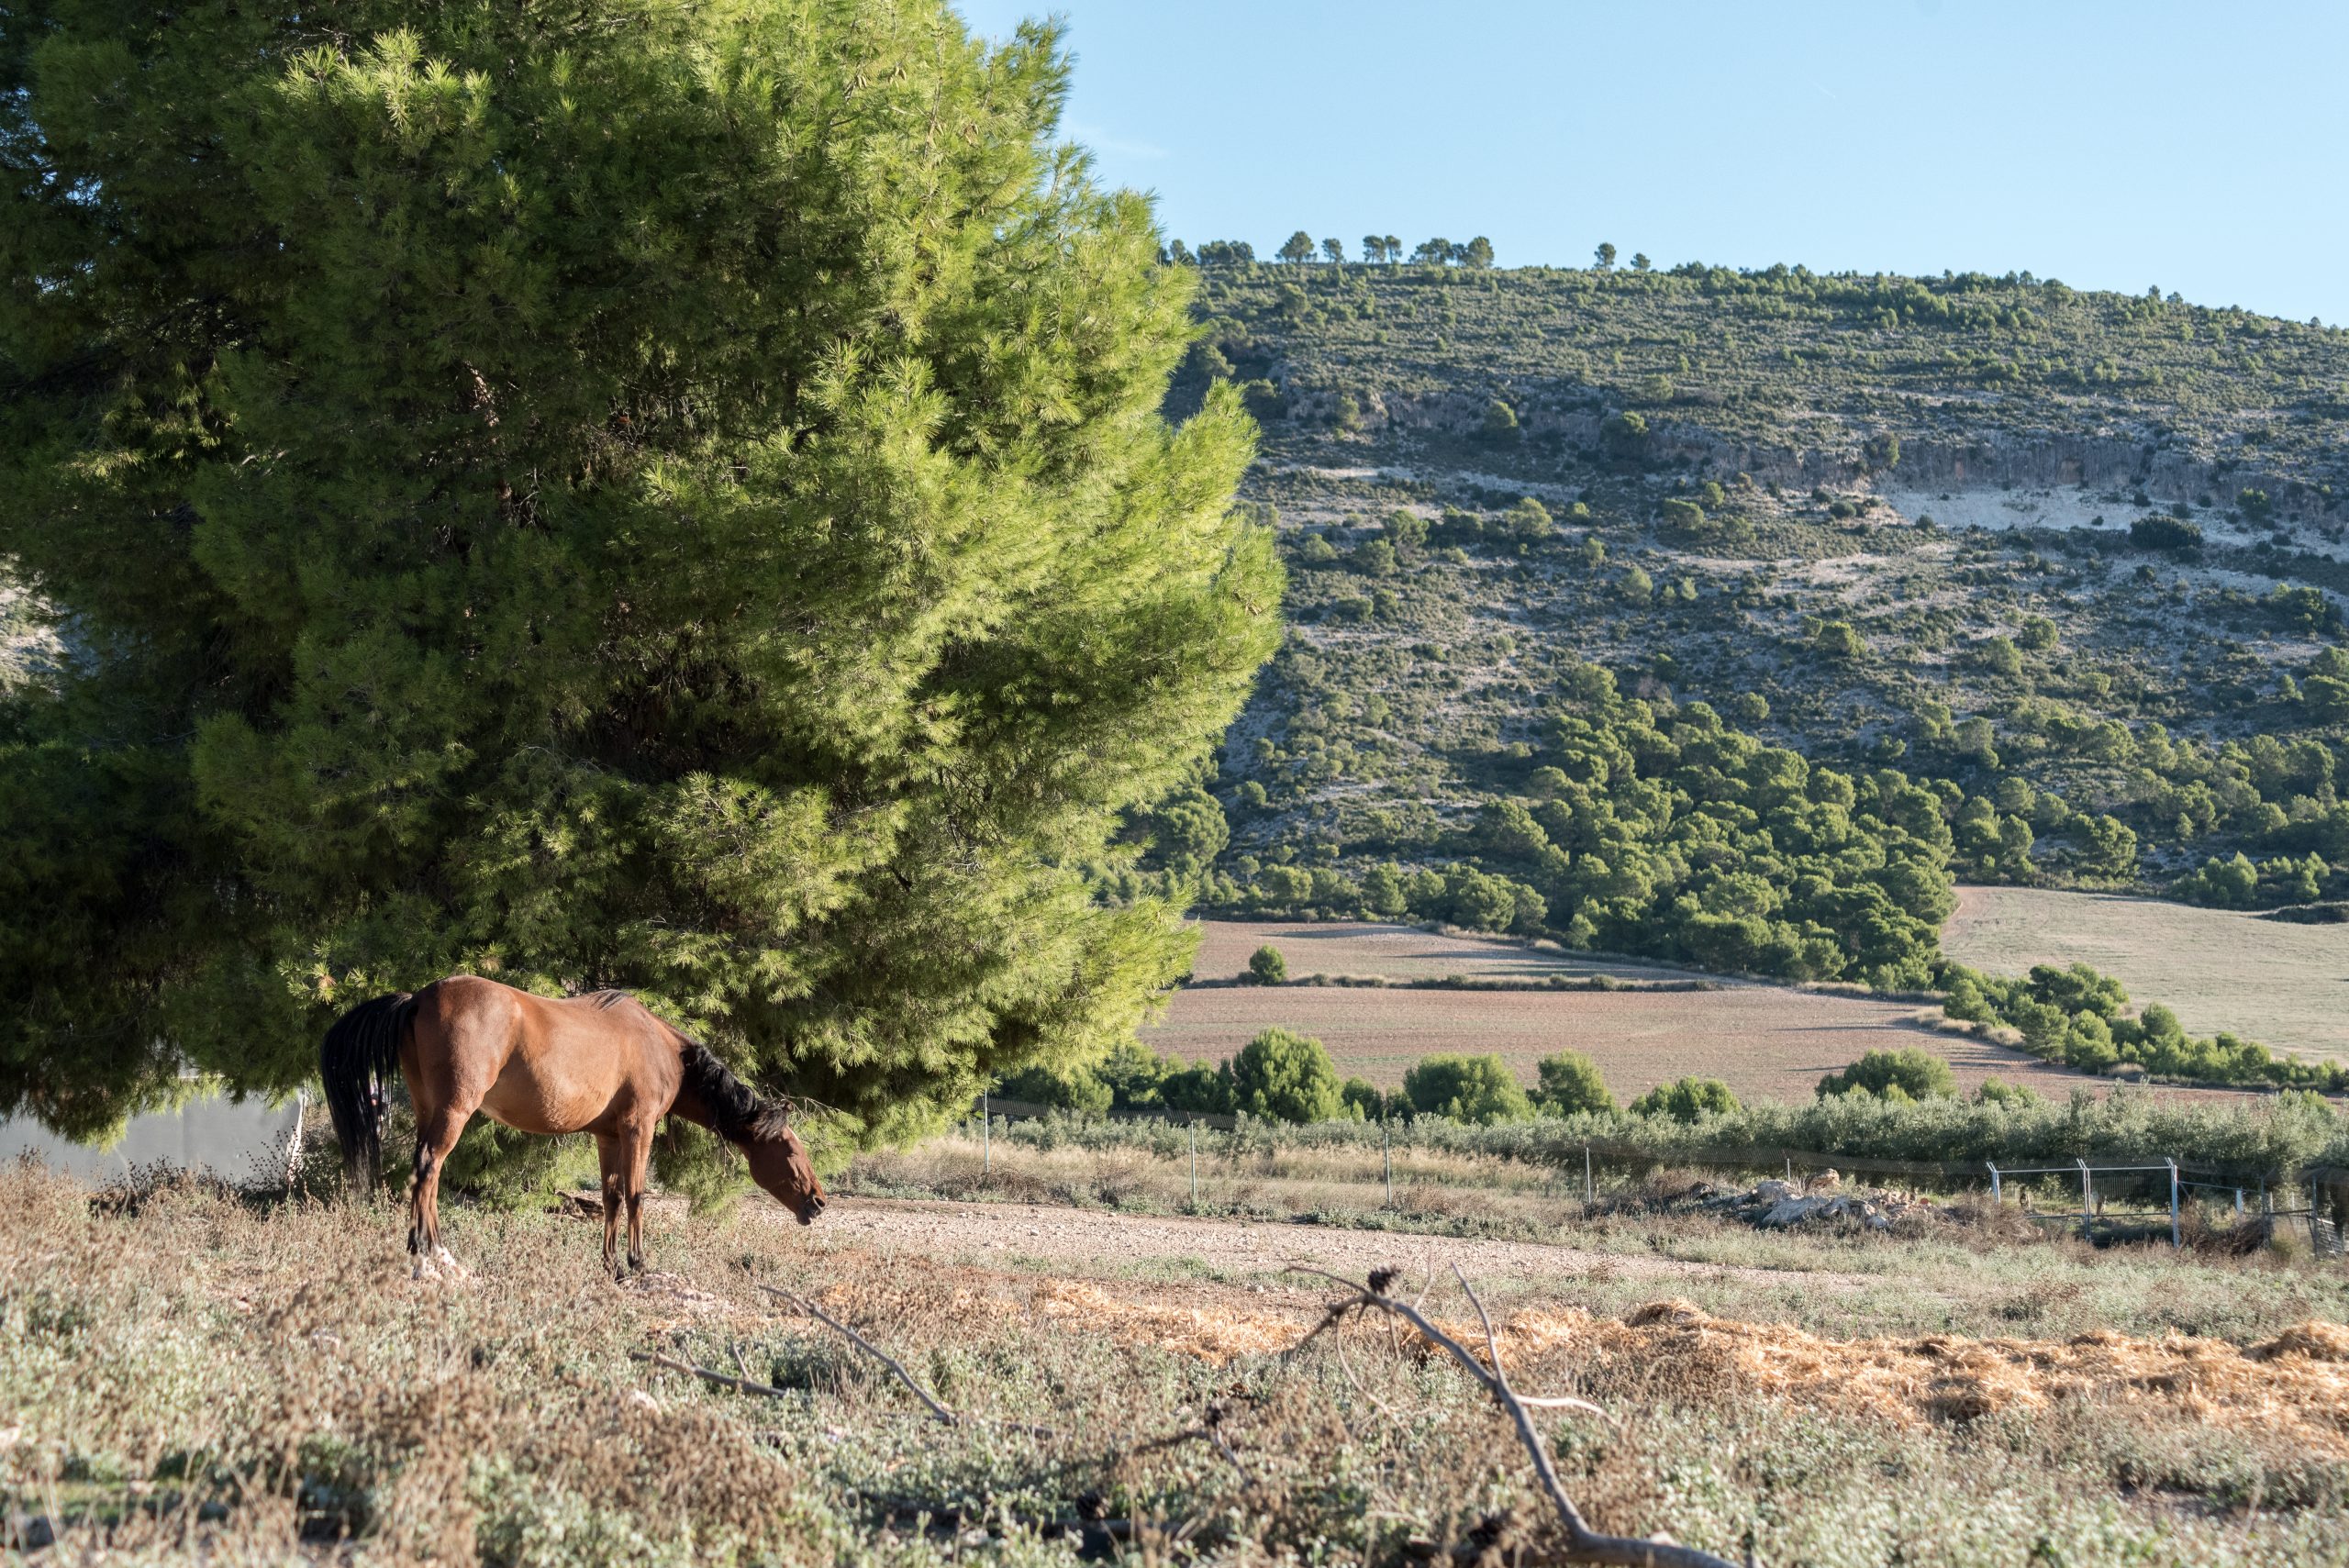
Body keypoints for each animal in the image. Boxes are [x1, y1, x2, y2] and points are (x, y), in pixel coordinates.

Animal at [318, 975, 827, 1278]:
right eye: (791, 1151)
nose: (818, 1202)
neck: (663, 1050)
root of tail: (418, 998)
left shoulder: (608, 1136)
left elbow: (612, 1198)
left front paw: (611, 1265)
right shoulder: (638, 1129)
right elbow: (638, 1196)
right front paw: (638, 1262)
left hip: (430, 1110)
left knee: (426, 1173)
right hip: (453, 1112)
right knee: (428, 1169)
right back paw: (433, 1256)